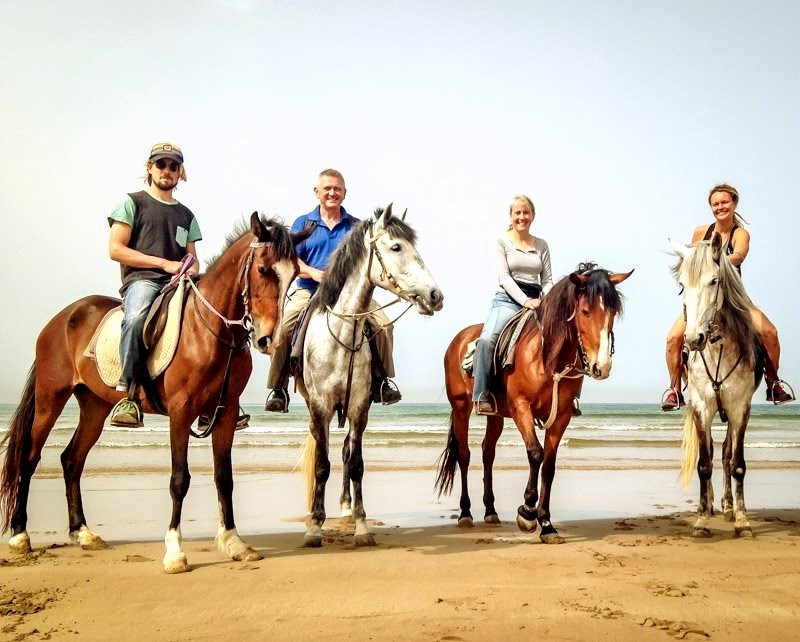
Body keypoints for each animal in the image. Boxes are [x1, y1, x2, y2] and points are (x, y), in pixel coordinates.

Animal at [1, 213, 309, 572]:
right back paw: (20, 535)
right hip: (50, 399)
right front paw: (174, 552)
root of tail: (62, 318)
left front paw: (234, 543)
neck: (210, 331)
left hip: (94, 405)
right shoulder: (180, 412)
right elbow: (179, 479)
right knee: (30, 457)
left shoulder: (226, 412)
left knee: (71, 460)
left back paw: (84, 533)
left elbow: (224, 477)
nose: (267, 339)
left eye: (294, 276)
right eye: (262, 269)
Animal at [298, 205, 444, 547]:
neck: (341, 337)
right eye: (396, 247)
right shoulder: (321, 407)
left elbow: (356, 464)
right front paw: (315, 528)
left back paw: (346, 508)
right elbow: (321, 465)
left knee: (346, 450)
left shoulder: (359, 407)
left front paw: (362, 526)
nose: (435, 295)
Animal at [436, 264, 632, 544]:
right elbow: (535, 453)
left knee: (487, 453)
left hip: (495, 414)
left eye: (613, 312)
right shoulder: (521, 407)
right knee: (464, 455)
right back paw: (465, 513)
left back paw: (490, 510)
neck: (546, 356)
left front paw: (547, 524)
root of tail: (460, 339)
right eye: (585, 311)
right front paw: (527, 512)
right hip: (461, 407)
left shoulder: (561, 415)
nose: (601, 367)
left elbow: (549, 465)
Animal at [673, 234, 759, 538]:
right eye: (682, 285)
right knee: (710, 453)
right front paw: (700, 520)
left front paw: (743, 520)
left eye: (714, 281)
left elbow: (737, 464)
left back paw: (728, 506)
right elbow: (703, 463)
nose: (693, 339)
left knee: (725, 456)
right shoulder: (702, 407)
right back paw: (710, 505)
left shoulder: (740, 408)